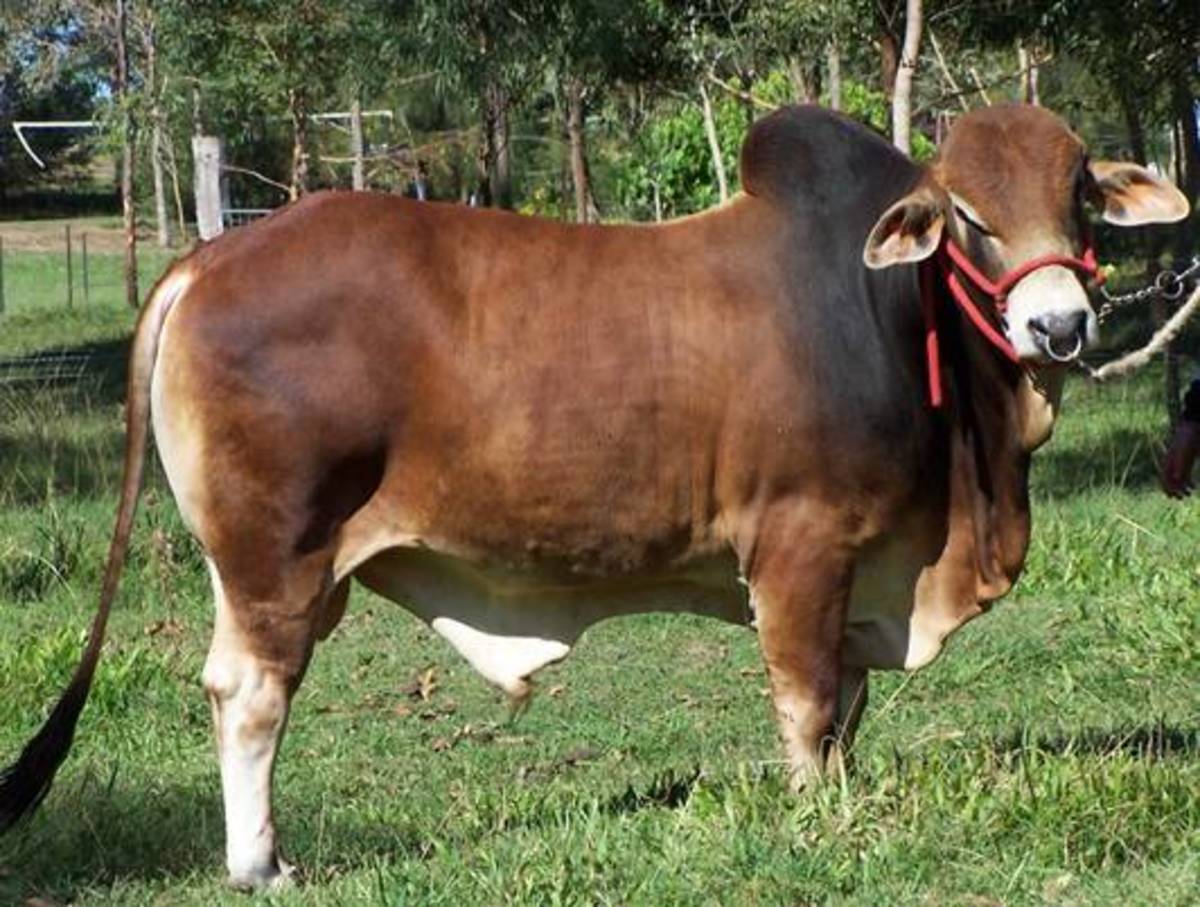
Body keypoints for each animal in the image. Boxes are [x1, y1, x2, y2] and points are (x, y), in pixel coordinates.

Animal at [0, 104, 1187, 889]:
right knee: (249, 695)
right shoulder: (799, 546)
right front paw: (816, 816)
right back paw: (262, 864)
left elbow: (849, 707)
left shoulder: (862, 565)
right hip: (277, 558)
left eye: (1079, 196)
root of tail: (207, 261)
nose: (1059, 326)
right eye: (968, 216)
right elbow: (808, 703)